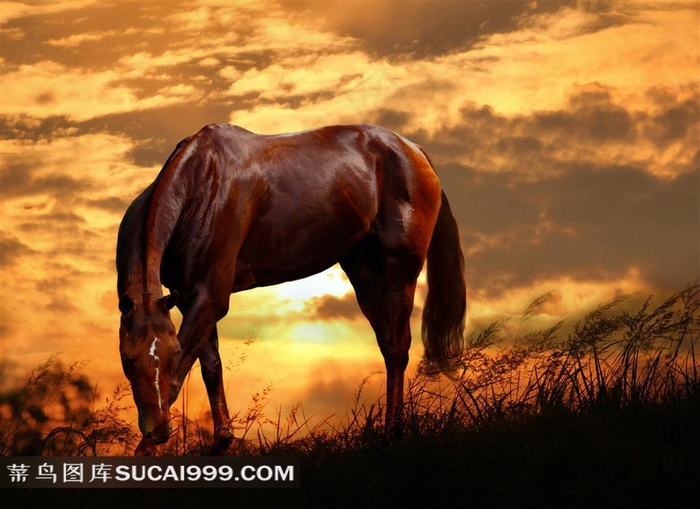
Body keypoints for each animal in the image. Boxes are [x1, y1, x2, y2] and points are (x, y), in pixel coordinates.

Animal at [115, 122, 464, 452]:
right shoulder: (189, 297)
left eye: (170, 354)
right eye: (128, 359)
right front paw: (222, 441)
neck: (203, 184)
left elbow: (180, 374)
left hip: (398, 274)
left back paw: (391, 436)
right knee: (389, 344)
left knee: (397, 348)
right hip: (366, 275)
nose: (158, 431)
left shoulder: (209, 296)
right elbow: (211, 367)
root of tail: (416, 152)